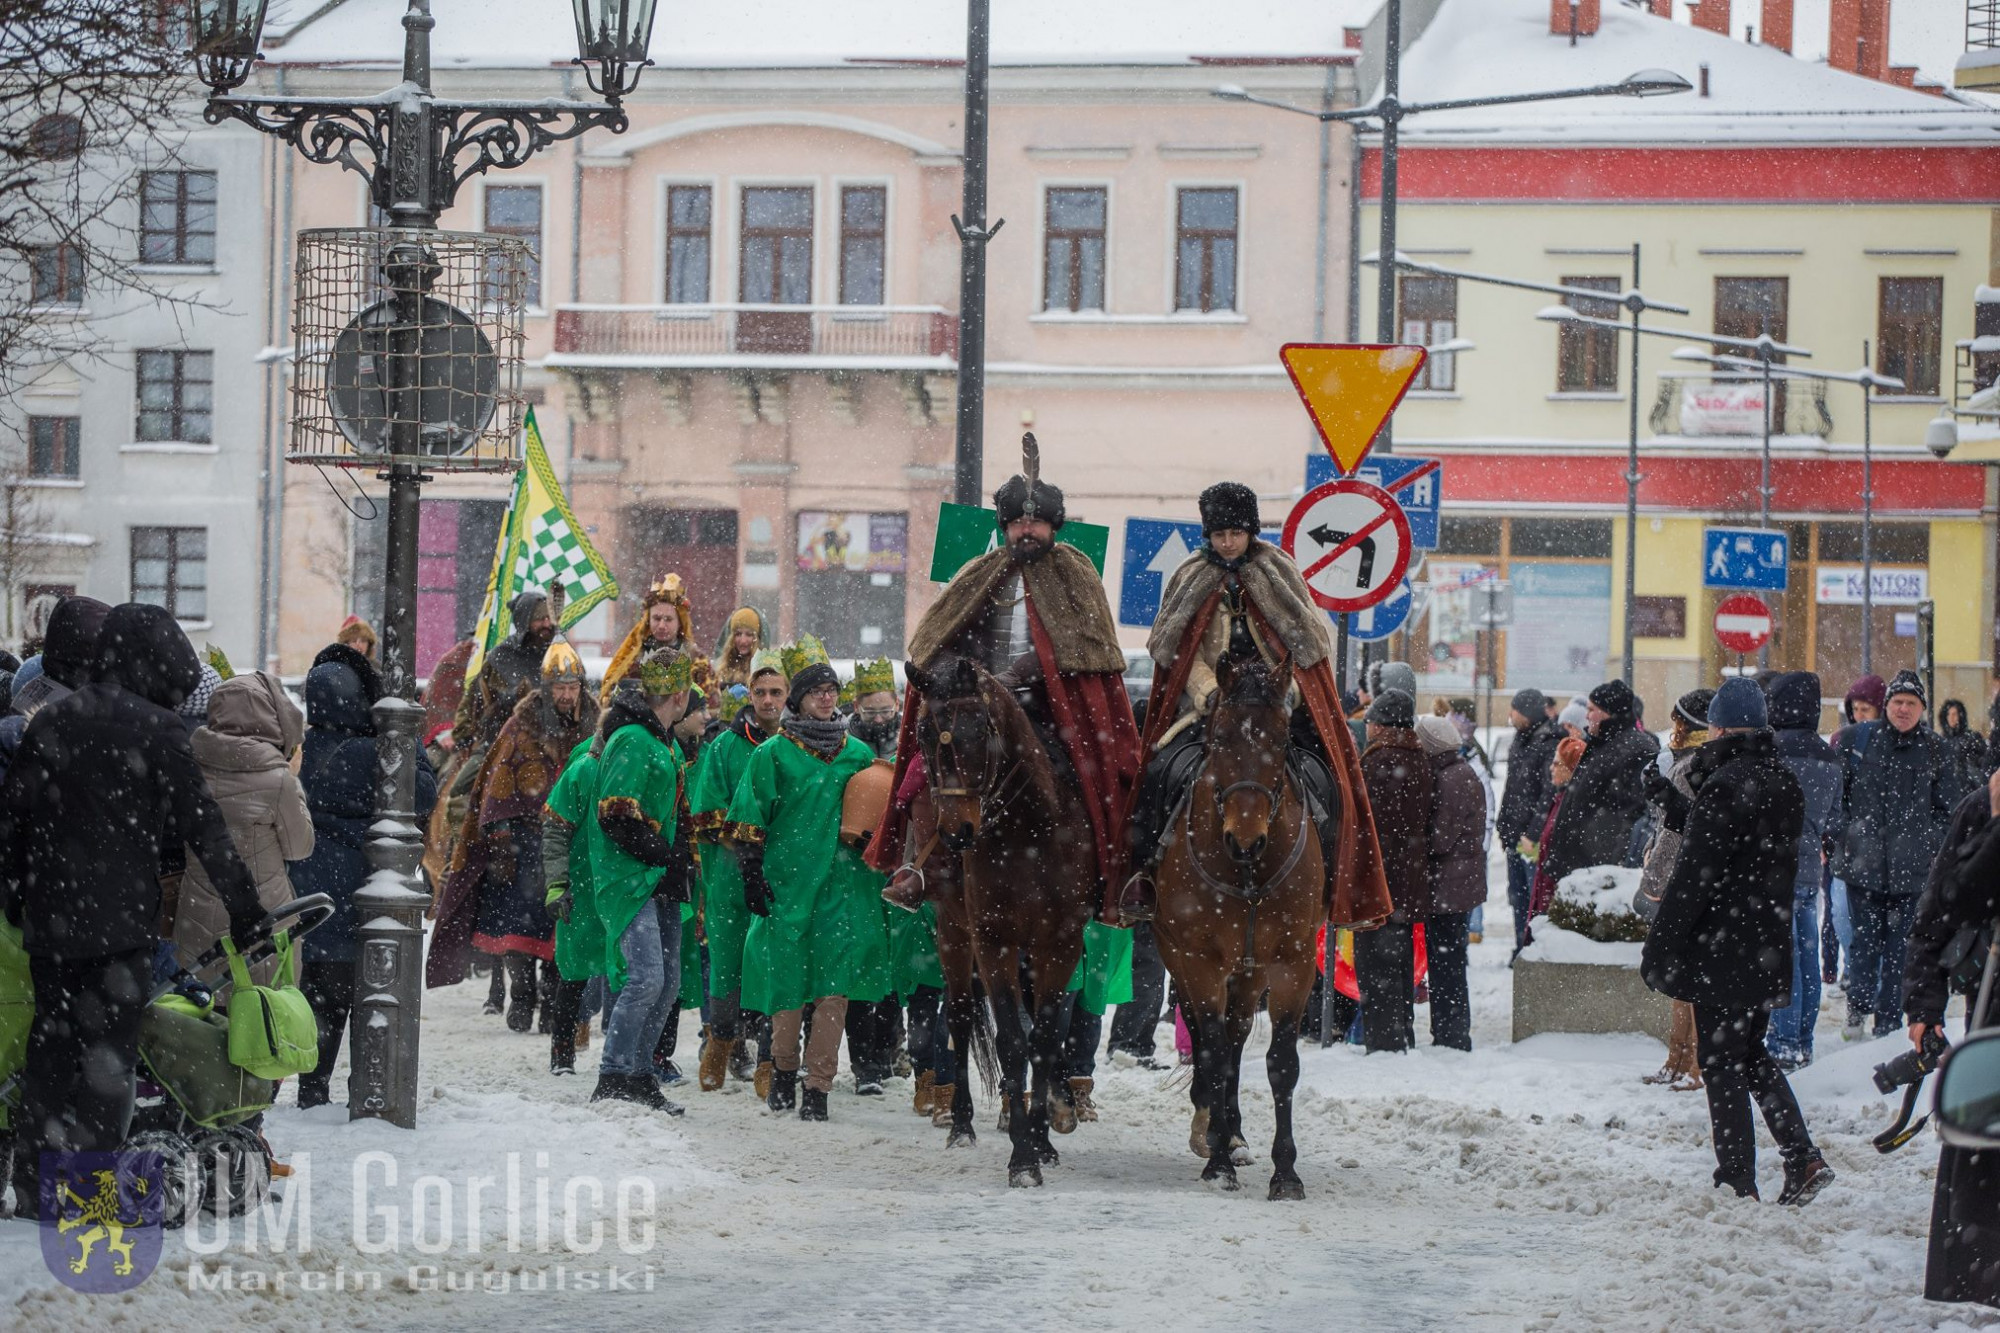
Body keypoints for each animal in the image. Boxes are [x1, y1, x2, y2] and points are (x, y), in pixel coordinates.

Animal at [904, 652, 1096, 1184]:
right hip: (952, 930)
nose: (956, 833)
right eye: (923, 736)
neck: (1029, 828)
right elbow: (1012, 1040)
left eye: (977, 730)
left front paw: (1042, 1138)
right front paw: (1023, 1158)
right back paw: (962, 1125)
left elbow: (1045, 1038)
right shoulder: (993, 939)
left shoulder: (1060, 941)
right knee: (961, 1016)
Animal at [1152, 652, 1336, 1192]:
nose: (1245, 839)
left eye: (1279, 739)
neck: (1250, 870)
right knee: (1207, 1036)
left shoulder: (1293, 963)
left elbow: (1281, 1064)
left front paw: (1285, 1172)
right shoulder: (1200, 959)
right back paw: (1211, 1127)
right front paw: (1217, 1162)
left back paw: (1231, 1131)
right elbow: (1210, 1050)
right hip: (1181, 953)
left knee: (1234, 1039)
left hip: (1251, 971)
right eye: (1219, 738)